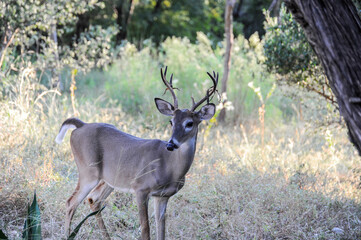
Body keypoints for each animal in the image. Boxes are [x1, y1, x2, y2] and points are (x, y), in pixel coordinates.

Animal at [54, 66, 218, 239]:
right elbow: (145, 229)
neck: (170, 167)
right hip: (88, 171)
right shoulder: (140, 188)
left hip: (109, 179)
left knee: (93, 199)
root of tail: (81, 125)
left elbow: (161, 229)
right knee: (70, 202)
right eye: (171, 121)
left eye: (190, 123)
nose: (171, 144)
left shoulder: (163, 196)